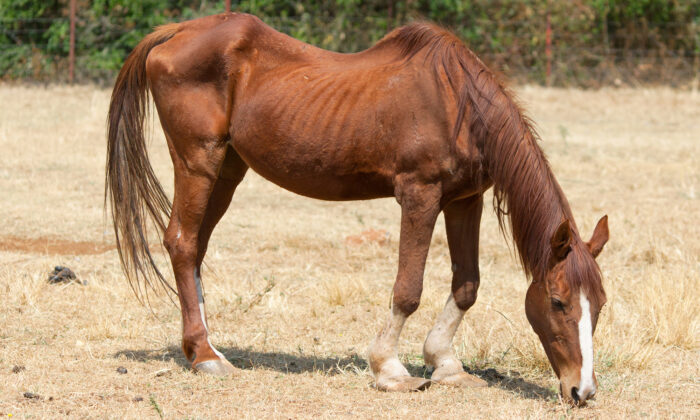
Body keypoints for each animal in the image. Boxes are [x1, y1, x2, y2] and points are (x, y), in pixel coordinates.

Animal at [106, 13, 609, 404]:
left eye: (600, 304)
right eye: (559, 302)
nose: (582, 391)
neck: (460, 106)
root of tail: (175, 31)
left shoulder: (466, 200)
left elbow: (467, 285)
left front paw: (444, 363)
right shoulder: (420, 195)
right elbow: (408, 289)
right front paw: (390, 369)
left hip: (228, 170)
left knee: (194, 248)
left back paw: (202, 349)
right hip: (198, 162)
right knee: (183, 242)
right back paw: (207, 357)